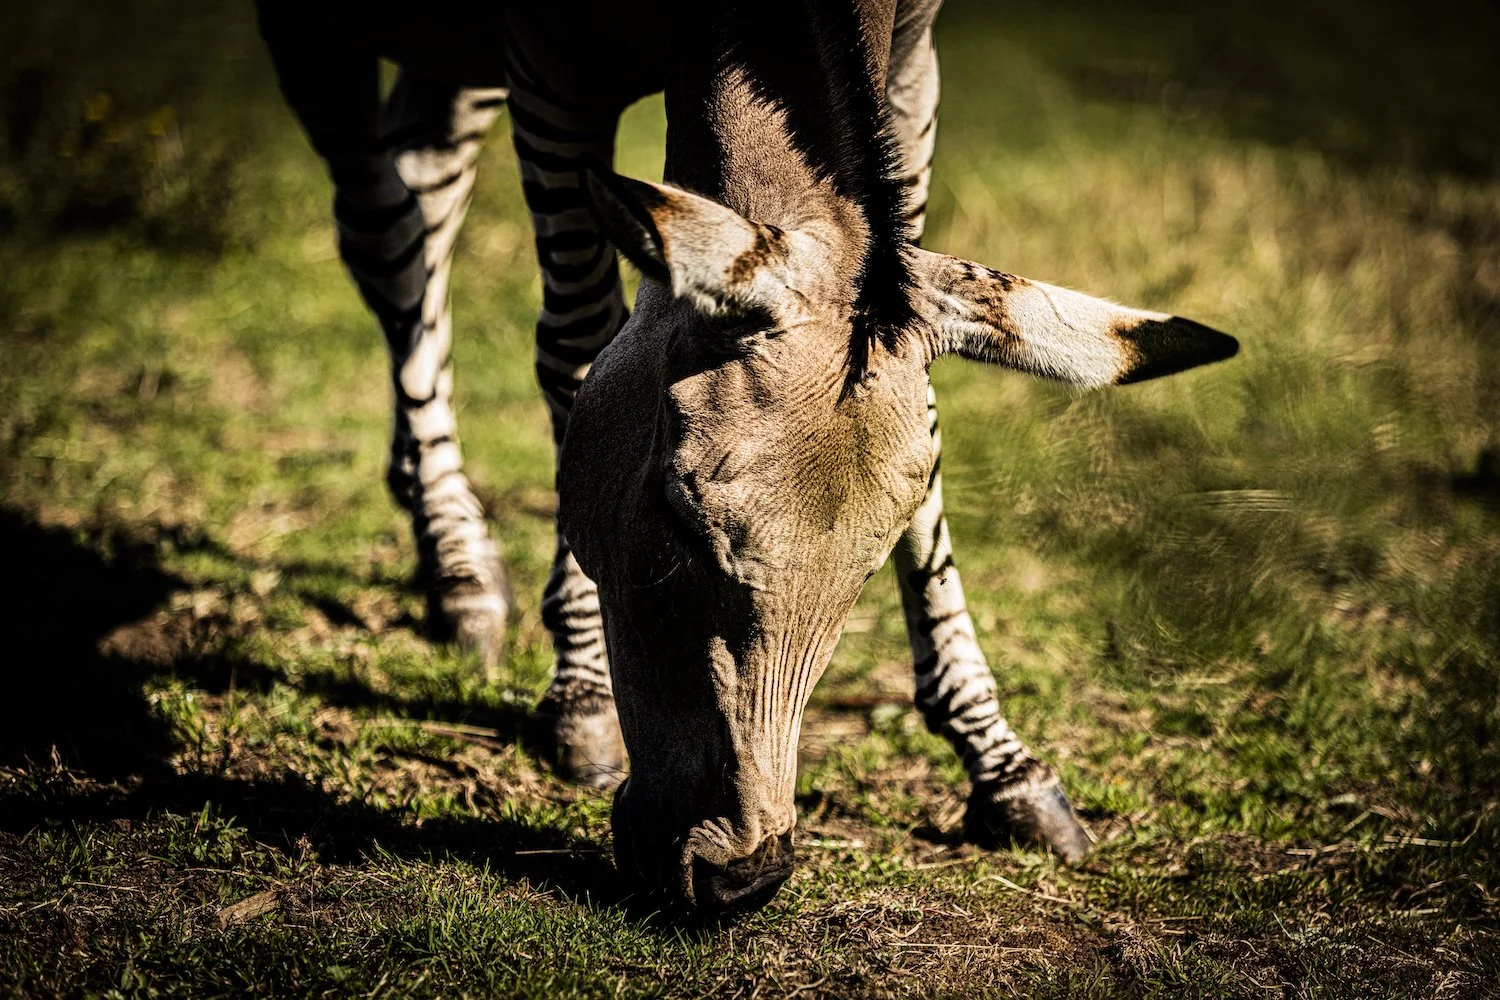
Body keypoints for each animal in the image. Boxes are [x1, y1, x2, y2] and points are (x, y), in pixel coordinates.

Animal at [257, 0, 1236, 912]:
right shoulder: (551, 64)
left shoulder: (911, 62)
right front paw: (581, 693)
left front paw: (1000, 763)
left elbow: (921, 391)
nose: (740, 880)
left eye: (874, 561)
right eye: (675, 517)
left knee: (421, 188)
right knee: (386, 229)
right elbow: (575, 345)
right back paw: (459, 559)